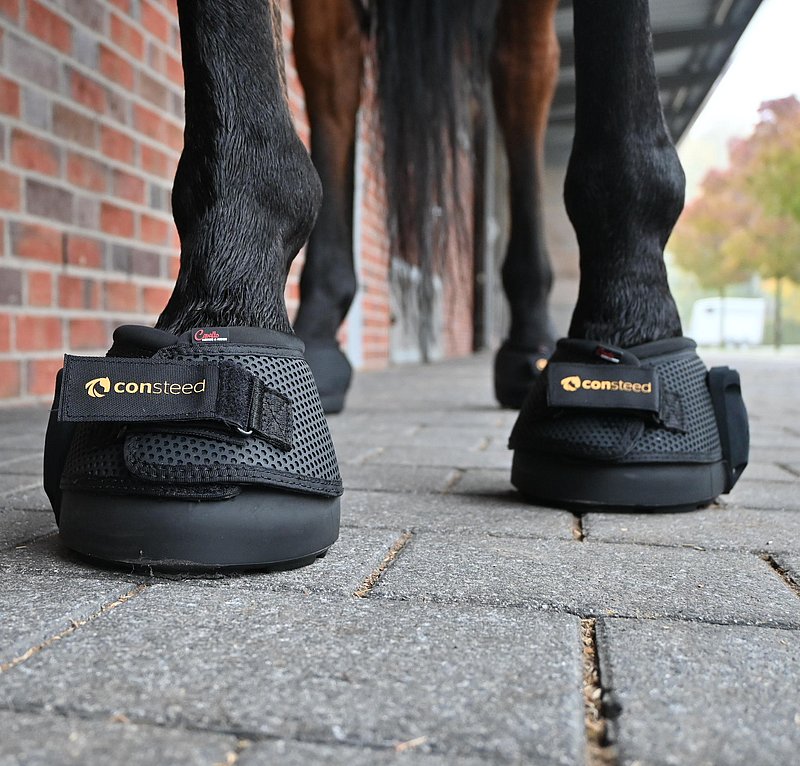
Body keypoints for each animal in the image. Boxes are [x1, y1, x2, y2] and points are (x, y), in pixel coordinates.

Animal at [43, 0, 750, 571]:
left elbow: (625, 144)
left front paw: (629, 322)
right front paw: (225, 293)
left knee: (523, 74)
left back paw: (529, 345)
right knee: (334, 67)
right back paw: (324, 339)